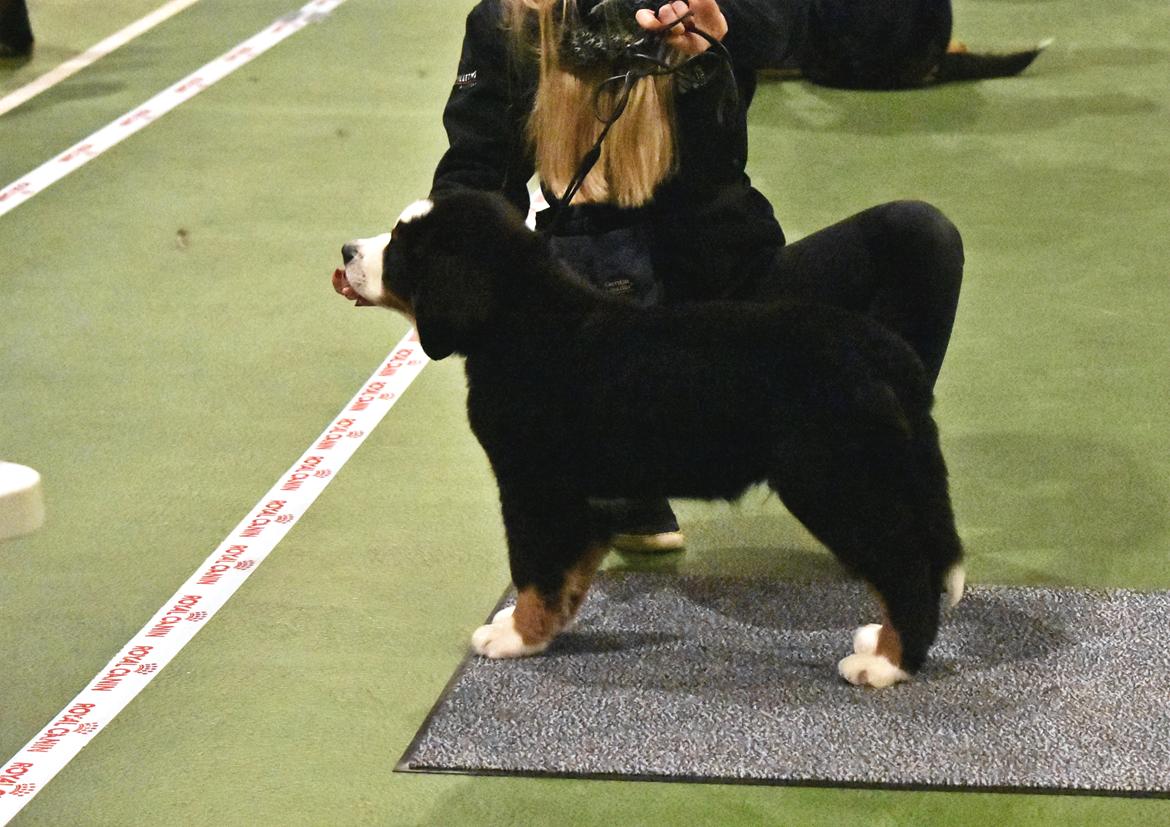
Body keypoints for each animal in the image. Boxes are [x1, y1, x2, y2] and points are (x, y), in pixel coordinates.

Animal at [334, 190, 964, 687]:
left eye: (402, 246)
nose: (345, 252)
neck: (521, 320)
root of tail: (884, 351)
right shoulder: (588, 495)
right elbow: (567, 574)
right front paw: (542, 629)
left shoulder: (532, 484)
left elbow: (533, 567)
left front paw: (514, 635)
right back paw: (880, 642)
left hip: (836, 482)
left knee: (906, 570)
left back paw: (885, 665)